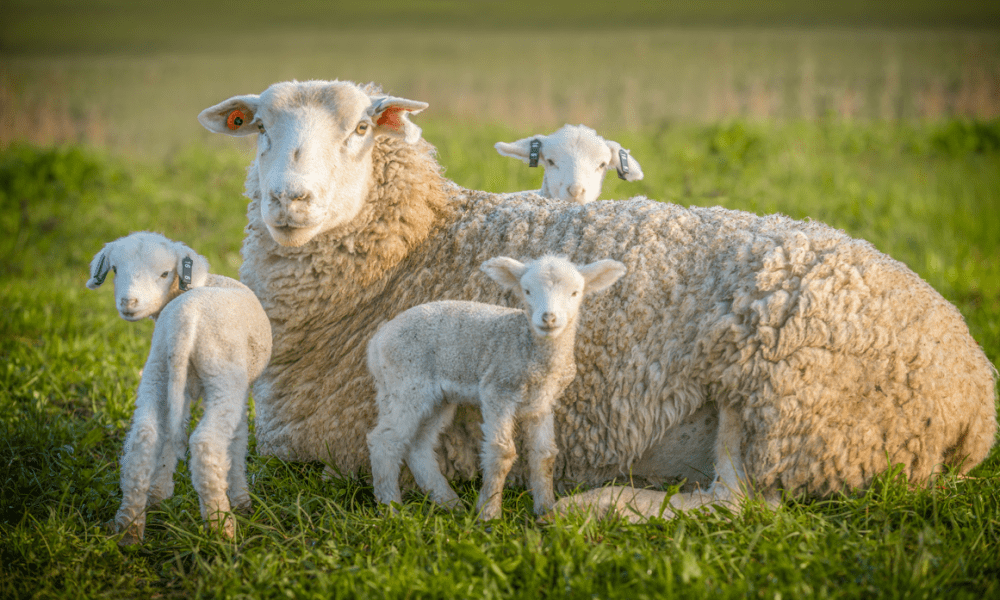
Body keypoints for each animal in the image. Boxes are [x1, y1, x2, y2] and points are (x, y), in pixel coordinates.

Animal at [84, 232, 272, 540]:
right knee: (206, 444)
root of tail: (186, 318)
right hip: (223, 375)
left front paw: (159, 493)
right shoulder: (239, 387)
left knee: (144, 438)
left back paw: (130, 528)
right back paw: (222, 529)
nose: (128, 302)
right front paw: (242, 499)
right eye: (115, 270)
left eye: (164, 273)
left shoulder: (177, 385)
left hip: (158, 368)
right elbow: (238, 440)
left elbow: (173, 433)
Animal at [368, 254, 624, 520]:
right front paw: (489, 513)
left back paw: (450, 504)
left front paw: (545, 510)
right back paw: (391, 509)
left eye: (575, 292)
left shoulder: (542, 403)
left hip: (433, 397)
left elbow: (545, 455)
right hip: (405, 382)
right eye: (527, 290)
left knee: (419, 447)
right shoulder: (497, 390)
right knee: (385, 441)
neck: (530, 350)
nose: (548, 318)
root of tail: (377, 340)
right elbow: (502, 452)